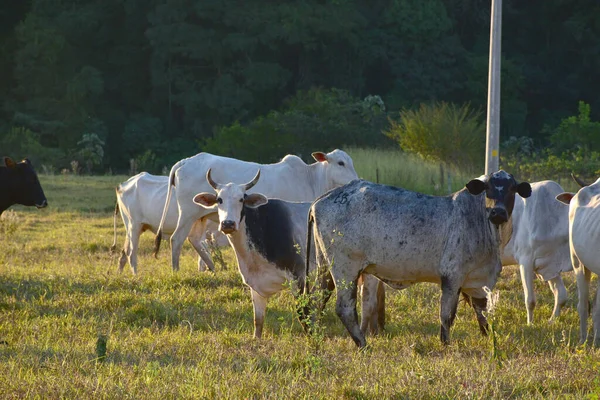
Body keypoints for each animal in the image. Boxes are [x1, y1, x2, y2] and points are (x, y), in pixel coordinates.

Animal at [155, 150, 358, 272]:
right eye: (340, 163)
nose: (356, 179)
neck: (310, 179)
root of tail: (184, 162)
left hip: (200, 216)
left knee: (195, 240)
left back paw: (212, 268)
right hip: (187, 213)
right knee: (177, 239)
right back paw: (176, 270)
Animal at [195, 168, 322, 338]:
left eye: (241, 199)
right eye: (219, 199)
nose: (228, 224)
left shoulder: (300, 278)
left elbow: (305, 316)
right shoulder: (255, 287)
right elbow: (258, 321)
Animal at [304, 170, 528, 348]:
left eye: (512, 189)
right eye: (488, 188)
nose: (498, 212)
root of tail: (319, 201)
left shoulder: (478, 282)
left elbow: (481, 313)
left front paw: (488, 337)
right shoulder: (452, 277)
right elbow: (447, 315)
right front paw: (446, 343)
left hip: (326, 267)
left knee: (315, 300)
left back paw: (314, 336)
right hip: (345, 268)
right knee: (344, 307)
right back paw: (362, 343)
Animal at [502, 181, 572, 324]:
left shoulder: (550, 265)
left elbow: (561, 295)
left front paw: (552, 320)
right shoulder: (525, 262)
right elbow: (530, 300)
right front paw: (530, 324)